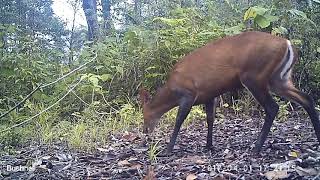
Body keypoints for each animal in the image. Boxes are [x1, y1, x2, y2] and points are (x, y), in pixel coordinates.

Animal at [139, 30, 320, 153]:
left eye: (144, 113)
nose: (145, 130)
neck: (171, 90)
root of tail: (287, 44)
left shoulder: (188, 94)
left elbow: (179, 120)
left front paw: (168, 149)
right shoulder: (209, 95)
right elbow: (210, 119)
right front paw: (209, 145)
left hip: (254, 76)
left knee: (272, 107)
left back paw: (256, 147)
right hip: (279, 79)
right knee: (306, 98)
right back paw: (317, 138)